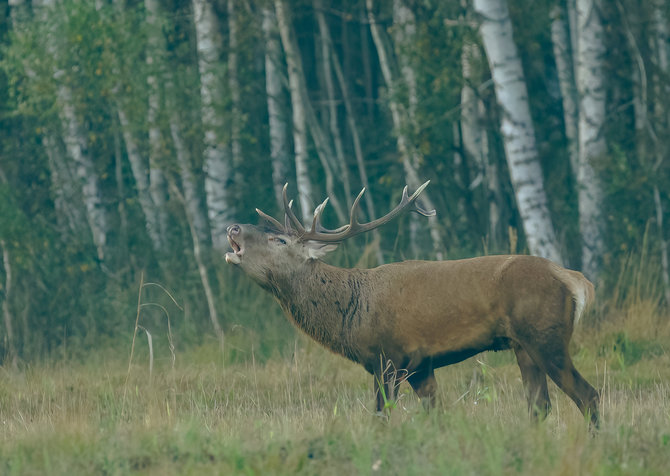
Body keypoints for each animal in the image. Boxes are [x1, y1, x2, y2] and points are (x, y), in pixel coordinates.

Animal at [227, 182, 604, 428]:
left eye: (279, 239)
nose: (233, 226)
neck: (350, 314)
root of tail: (574, 279)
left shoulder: (388, 358)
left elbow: (381, 419)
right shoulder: (422, 367)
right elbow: (437, 418)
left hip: (545, 336)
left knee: (588, 395)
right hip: (522, 346)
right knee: (539, 406)